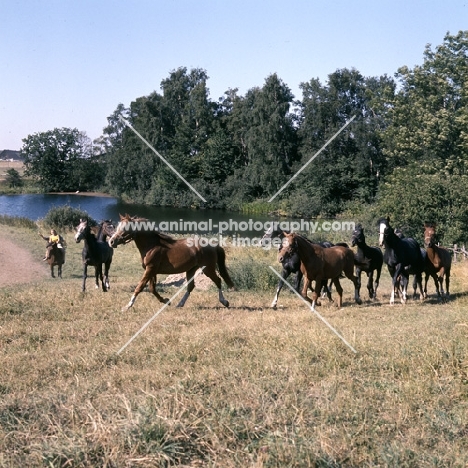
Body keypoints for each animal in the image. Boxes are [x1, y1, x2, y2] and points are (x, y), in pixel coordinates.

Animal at [108, 215, 236, 310]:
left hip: (208, 268)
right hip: (191, 269)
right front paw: (166, 301)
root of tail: (213, 245)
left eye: (126, 228)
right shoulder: (152, 271)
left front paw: (127, 306)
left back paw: (225, 302)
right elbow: (152, 288)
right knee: (191, 287)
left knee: (218, 281)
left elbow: (140, 286)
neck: (152, 246)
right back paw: (180, 304)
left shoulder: (150, 269)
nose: (111, 242)